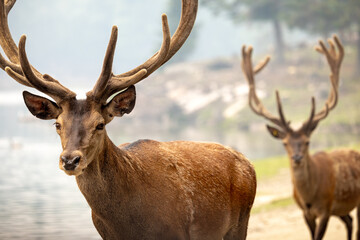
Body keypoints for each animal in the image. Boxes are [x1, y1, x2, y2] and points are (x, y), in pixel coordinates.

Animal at [0, 0, 258, 240]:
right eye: (57, 124)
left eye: (100, 124)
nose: (70, 160)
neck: (129, 224)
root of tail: (248, 164)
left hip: (239, 223)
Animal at [240, 36, 360, 240]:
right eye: (285, 143)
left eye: (307, 141)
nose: (297, 157)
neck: (310, 198)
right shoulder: (306, 213)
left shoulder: (326, 209)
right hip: (341, 210)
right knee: (350, 222)